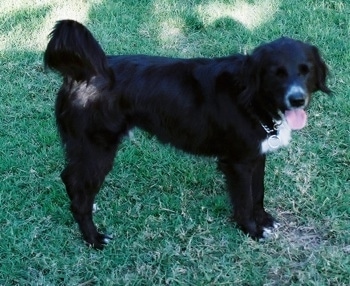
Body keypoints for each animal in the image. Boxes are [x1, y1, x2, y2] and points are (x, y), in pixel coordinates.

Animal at [43, 19, 328, 248]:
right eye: (276, 73)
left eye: (306, 70)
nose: (297, 99)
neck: (251, 98)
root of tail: (80, 75)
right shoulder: (237, 163)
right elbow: (245, 201)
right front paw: (251, 230)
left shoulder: (256, 156)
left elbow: (258, 193)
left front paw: (264, 220)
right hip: (97, 150)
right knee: (77, 191)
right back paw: (93, 238)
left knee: (70, 179)